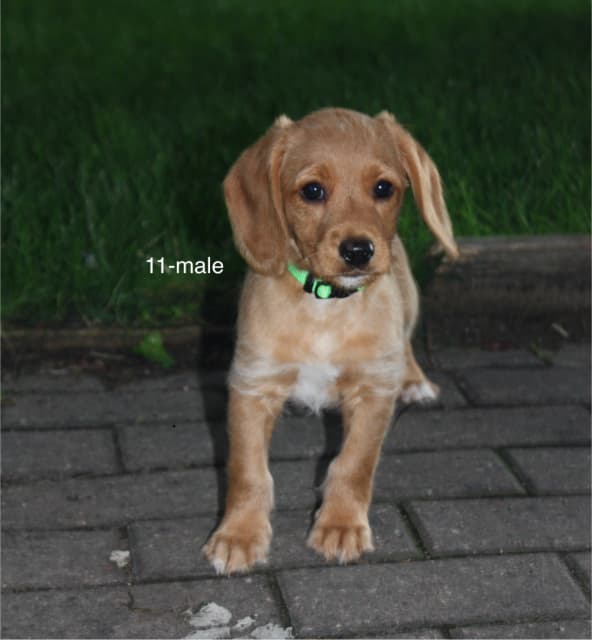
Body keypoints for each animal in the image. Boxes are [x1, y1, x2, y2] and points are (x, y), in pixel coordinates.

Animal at [203, 107, 458, 574]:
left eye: (383, 188)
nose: (358, 251)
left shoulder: (373, 391)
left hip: (409, 297)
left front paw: (340, 526)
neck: (325, 305)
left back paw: (414, 380)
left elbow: (353, 464)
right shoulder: (253, 386)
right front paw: (238, 535)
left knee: (406, 340)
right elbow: (248, 472)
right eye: (313, 191)